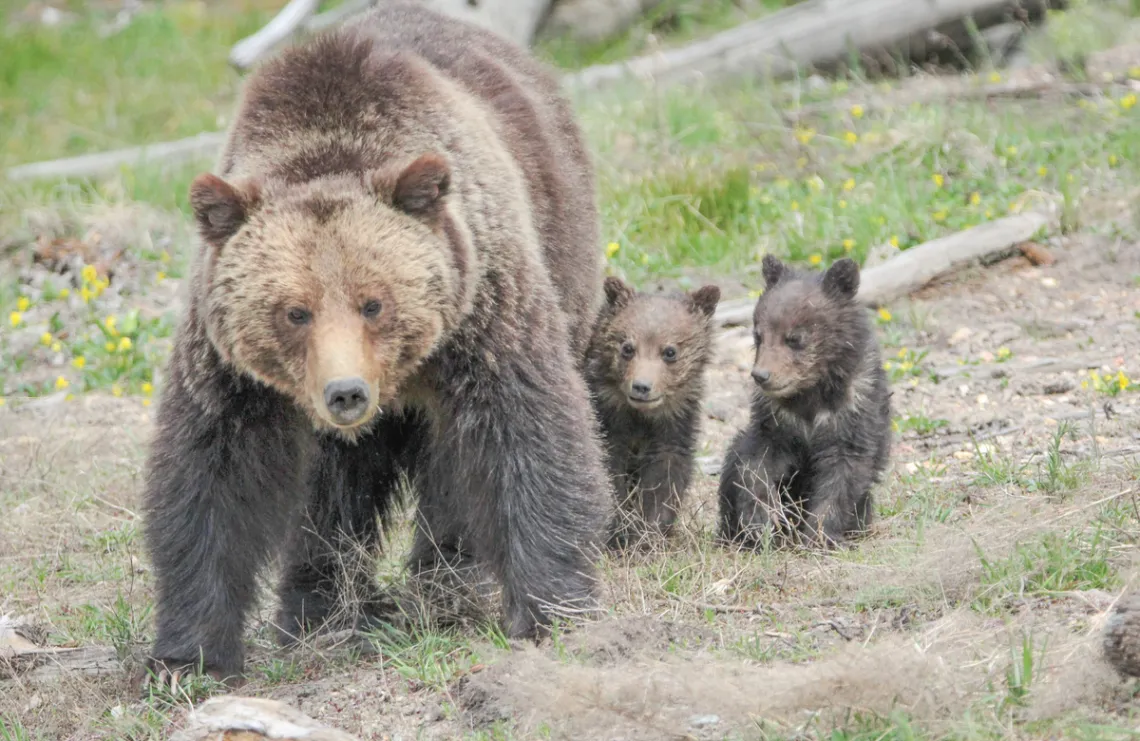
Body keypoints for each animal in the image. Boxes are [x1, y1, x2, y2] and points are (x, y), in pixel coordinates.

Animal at [139, 3, 612, 688]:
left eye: (374, 302)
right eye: (295, 312)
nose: (346, 393)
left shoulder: (484, 309)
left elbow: (526, 432)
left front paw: (552, 607)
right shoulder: (229, 366)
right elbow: (211, 474)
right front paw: (188, 656)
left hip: (560, 237)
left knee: (447, 470)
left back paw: (446, 584)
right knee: (332, 490)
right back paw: (321, 608)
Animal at [584, 277, 721, 549]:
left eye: (670, 351)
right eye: (627, 347)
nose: (641, 386)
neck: (641, 417)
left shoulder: (675, 422)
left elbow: (665, 476)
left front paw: (649, 531)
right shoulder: (609, 417)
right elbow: (610, 469)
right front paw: (621, 530)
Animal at [717, 255, 891, 550]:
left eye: (794, 338)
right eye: (758, 335)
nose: (761, 375)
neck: (810, 392)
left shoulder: (852, 411)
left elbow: (843, 473)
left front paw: (819, 534)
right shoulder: (777, 419)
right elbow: (756, 463)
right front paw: (763, 519)